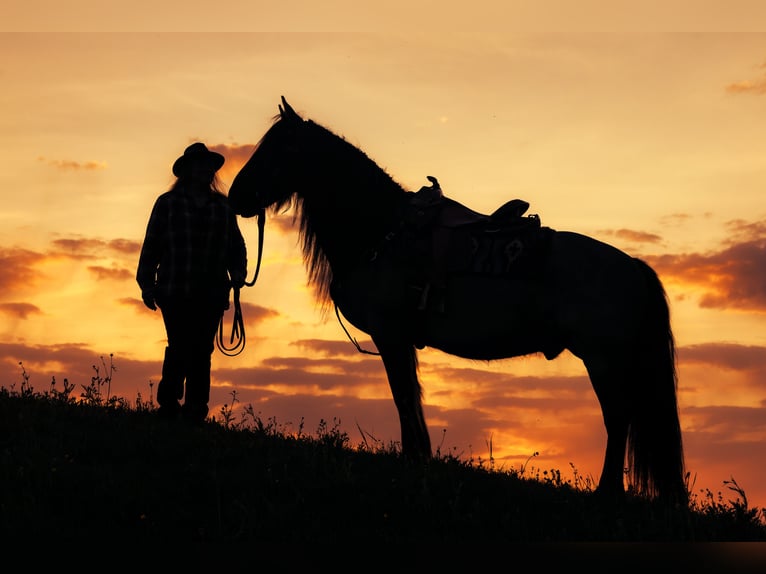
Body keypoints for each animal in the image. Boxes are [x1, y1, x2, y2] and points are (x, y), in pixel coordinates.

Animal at [228, 96, 687, 505]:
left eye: (278, 148)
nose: (236, 196)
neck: (381, 230)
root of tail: (633, 267)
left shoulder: (391, 335)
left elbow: (403, 397)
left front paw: (413, 462)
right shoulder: (399, 340)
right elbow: (410, 399)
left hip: (603, 358)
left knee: (618, 418)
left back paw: (608, 492)